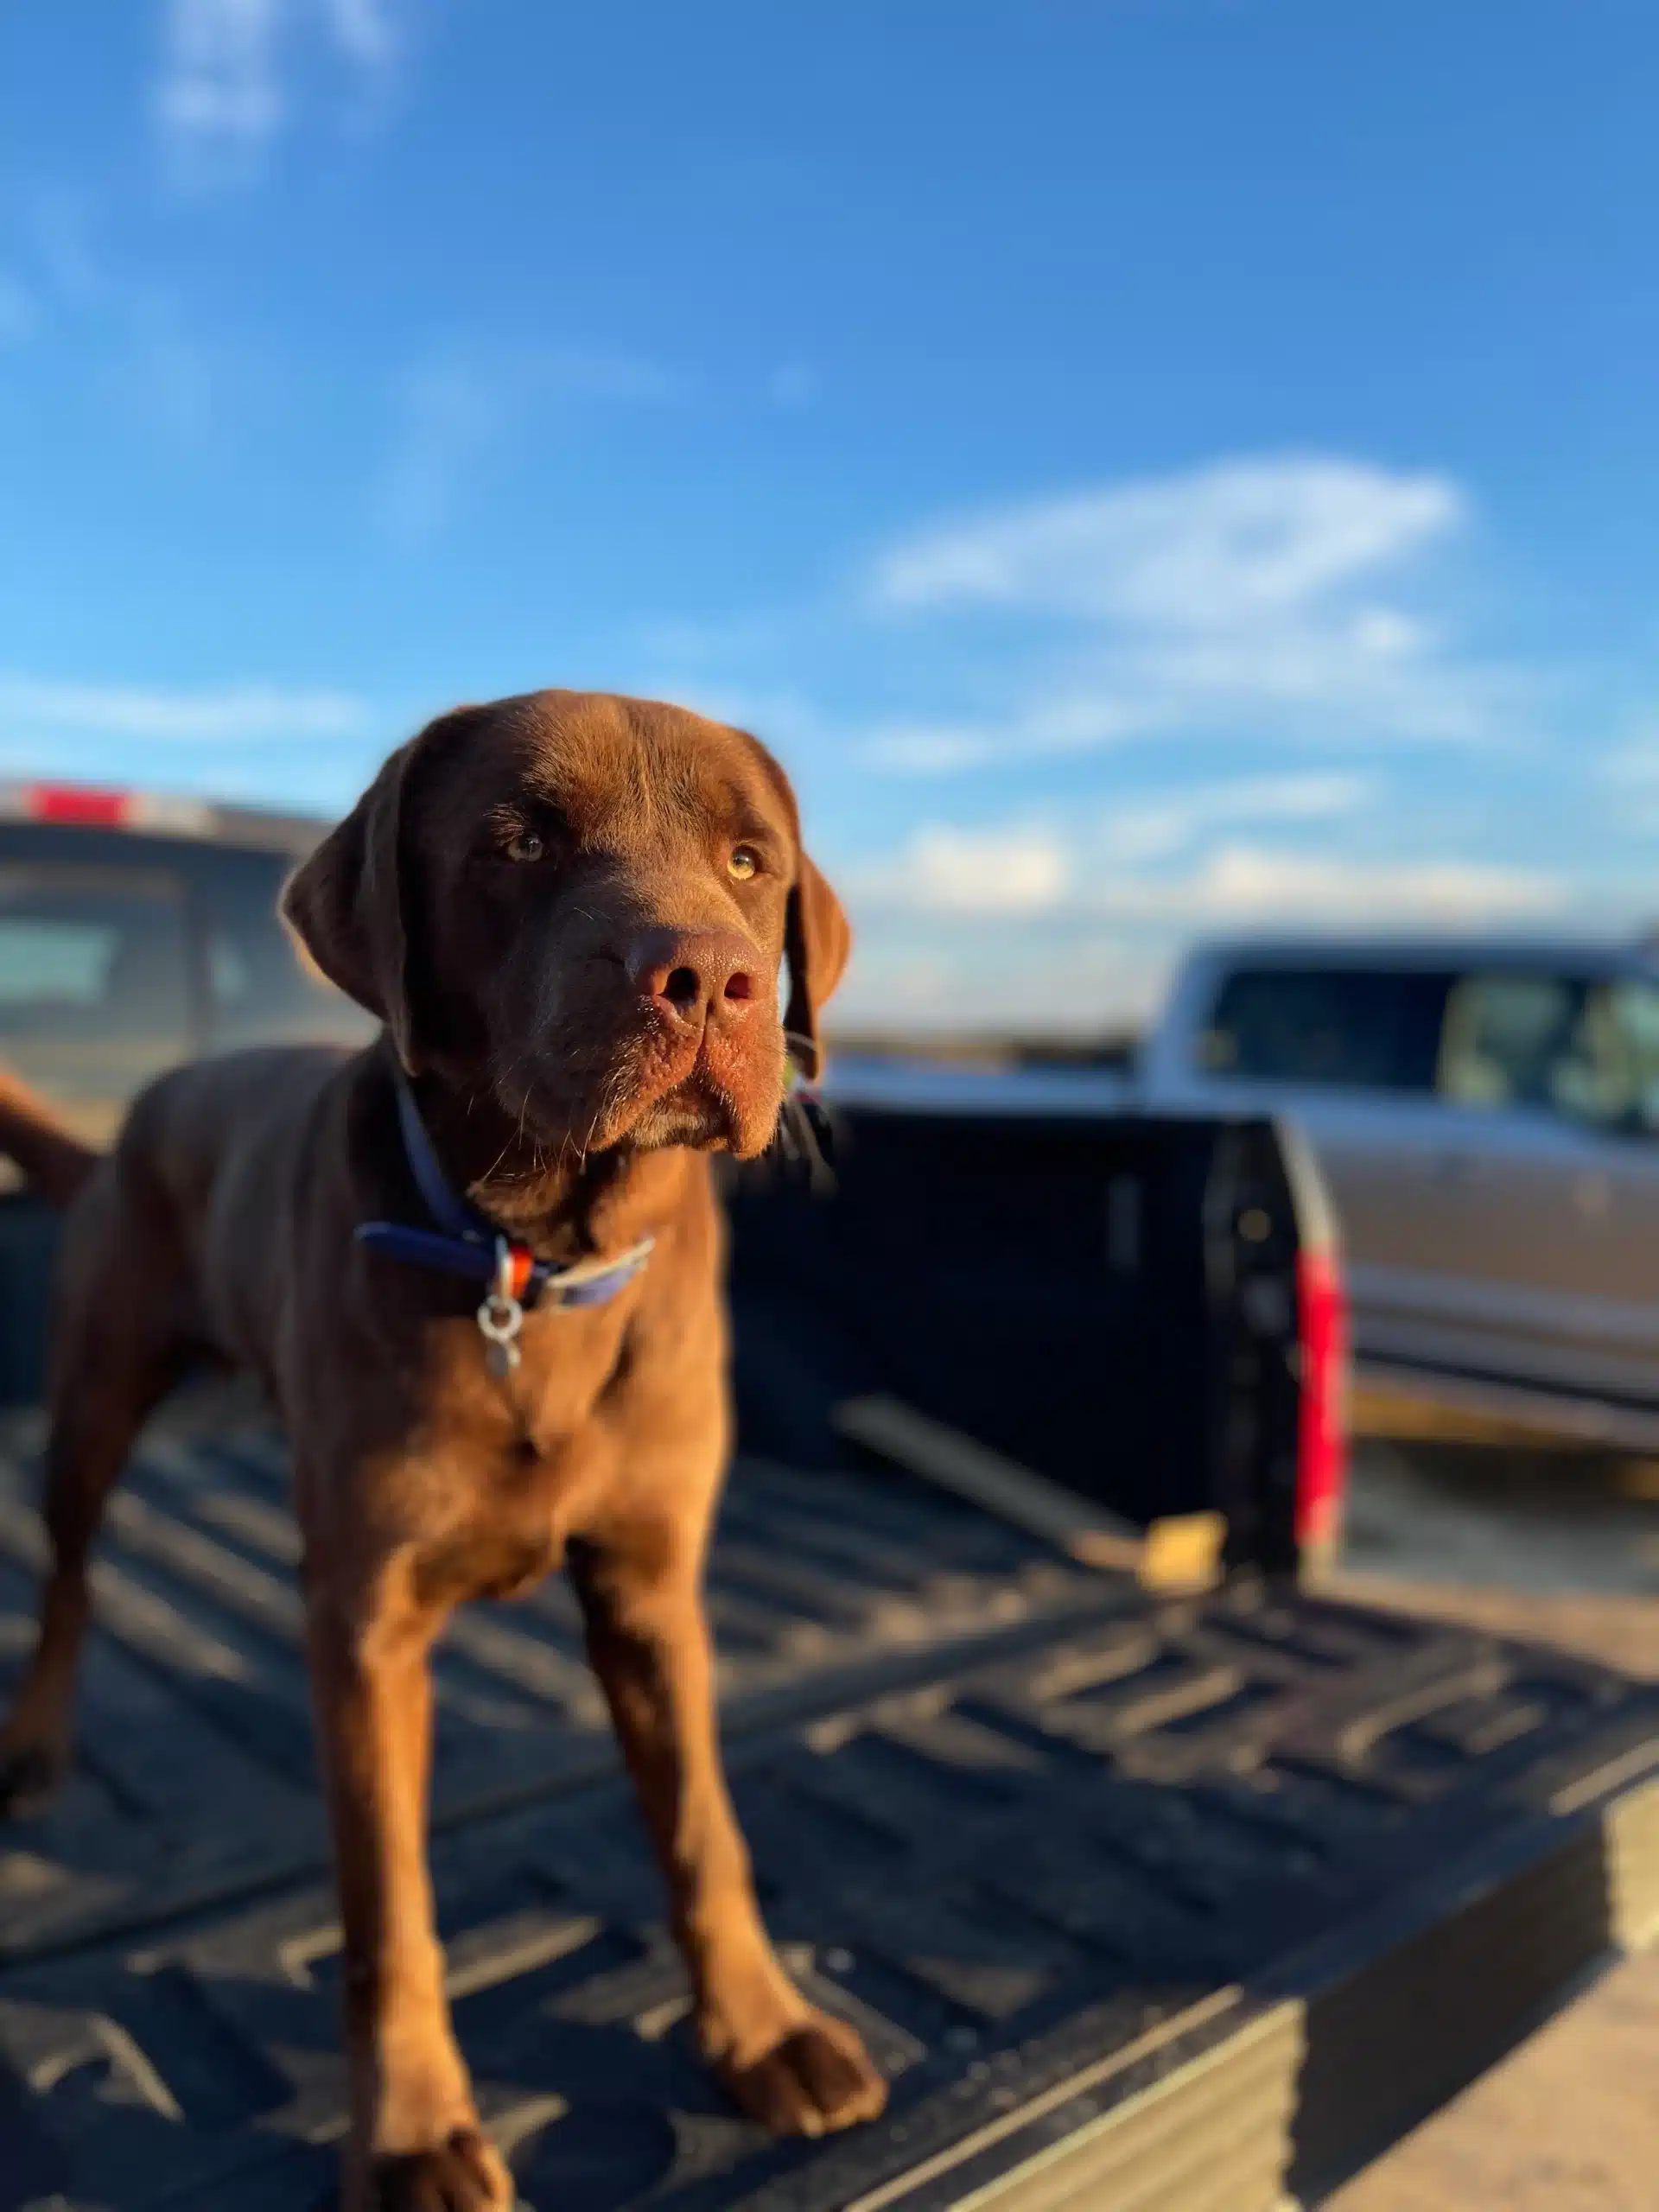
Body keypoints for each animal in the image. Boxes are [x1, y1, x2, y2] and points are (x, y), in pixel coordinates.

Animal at [0, 690, 889, 2212]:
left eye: (748, 862)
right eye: (518, 841)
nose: (712, 980)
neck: (532, 1263)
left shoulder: (652, 1589)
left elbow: (704, 1832)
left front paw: (762, 2035)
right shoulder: (366, 1627)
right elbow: (389, 1908)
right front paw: (412, 2133)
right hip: (95, 1400)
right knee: (69, 1580)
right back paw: (39, 1745)